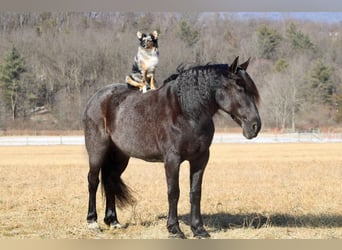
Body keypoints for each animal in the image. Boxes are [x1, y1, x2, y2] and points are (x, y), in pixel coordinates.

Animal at [83, 56, 262, 238]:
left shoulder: (200, 159)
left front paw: (199, 229)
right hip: (97, 150)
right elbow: (173, 192)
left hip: (120, 155)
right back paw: (92, 221)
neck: (185, 112)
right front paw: (174, 229)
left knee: (110, 180)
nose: (255, 126)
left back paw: (113, 221)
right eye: (239, 88)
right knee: (93, 180)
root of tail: (96, 98)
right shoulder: (172, 160)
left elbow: (195, 192)